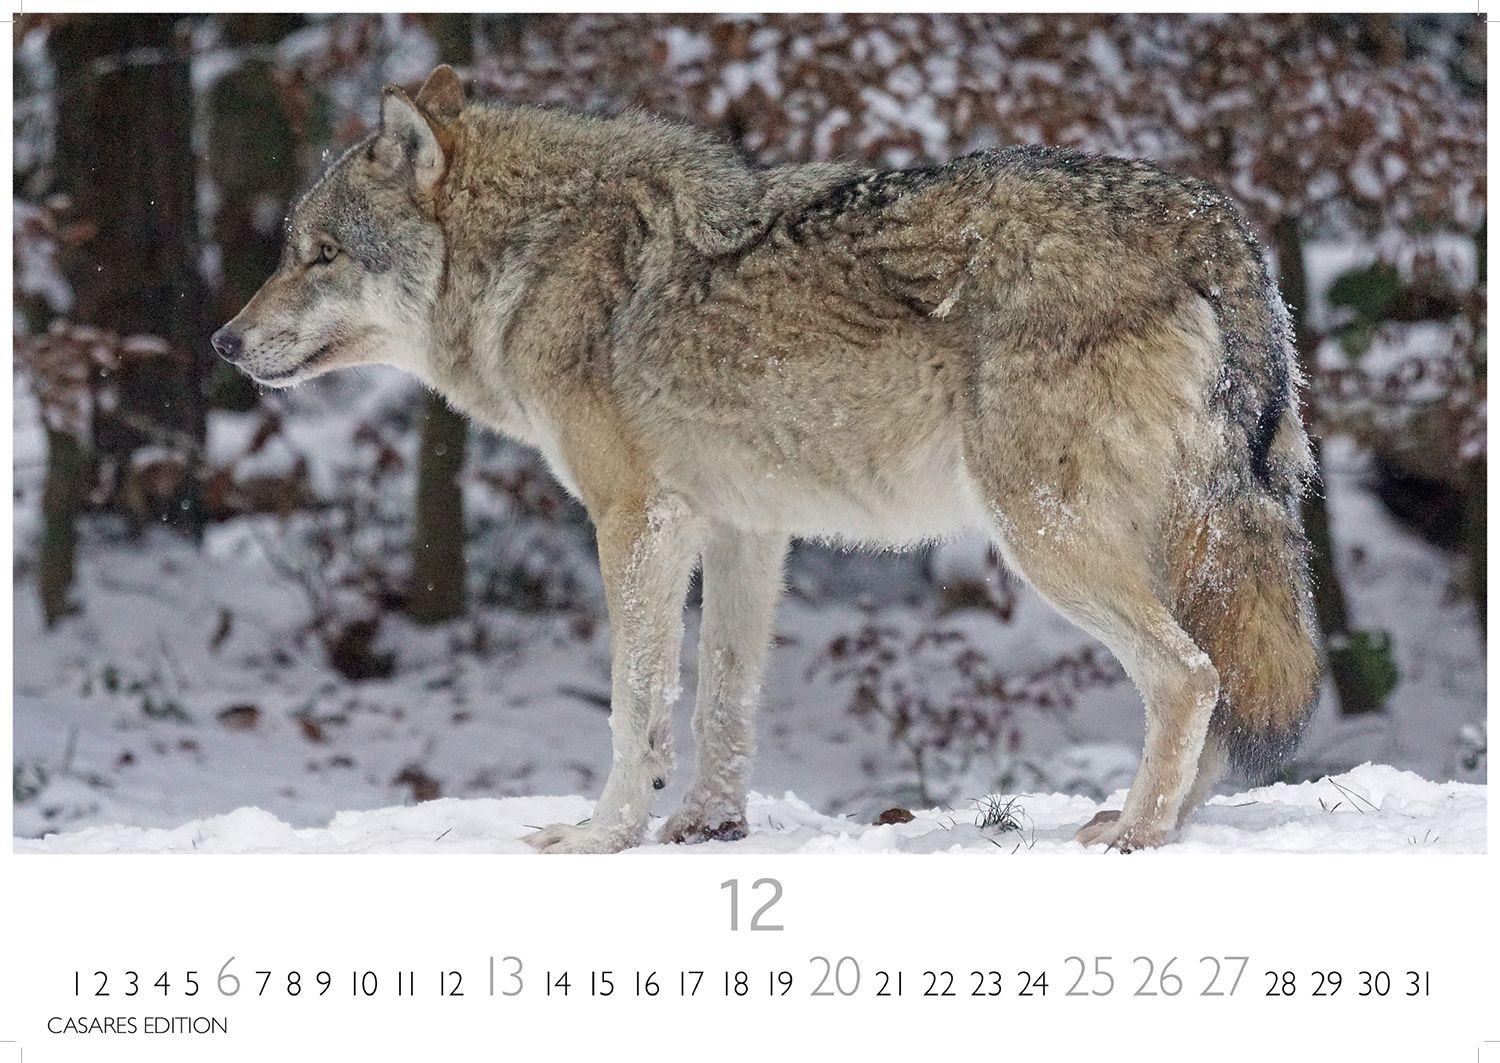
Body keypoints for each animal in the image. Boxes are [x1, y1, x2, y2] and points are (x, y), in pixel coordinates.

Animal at [215, 66, 1320, 853]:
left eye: (319, 255)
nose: (224, 342)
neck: (532, 256)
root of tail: (1215, 222)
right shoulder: (745, 529)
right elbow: (724, 696)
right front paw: (707, 825)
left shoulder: (637, 520)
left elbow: (635, 701)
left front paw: (600, 835)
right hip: (1177, 540)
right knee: (1217, 676)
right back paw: (1157, 821)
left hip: (1044, 535)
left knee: (1189, 674)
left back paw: (1137, 833)